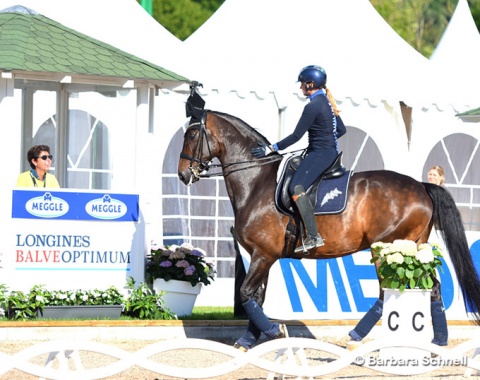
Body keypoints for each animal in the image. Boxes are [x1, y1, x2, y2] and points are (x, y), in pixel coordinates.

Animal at [177, 108, 480, 348]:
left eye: (191, 135)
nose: (182, 174)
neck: (256, 180)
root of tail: (421, 186)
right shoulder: (261, 256)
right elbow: (256, 297)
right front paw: (249, 340)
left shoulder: (264, 255)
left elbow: (246, 294)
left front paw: (274, 330)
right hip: (412, 251)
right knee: (433, 288)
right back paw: (438, 341)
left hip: (387, 251)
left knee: (388, 291)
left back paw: (356, 337)